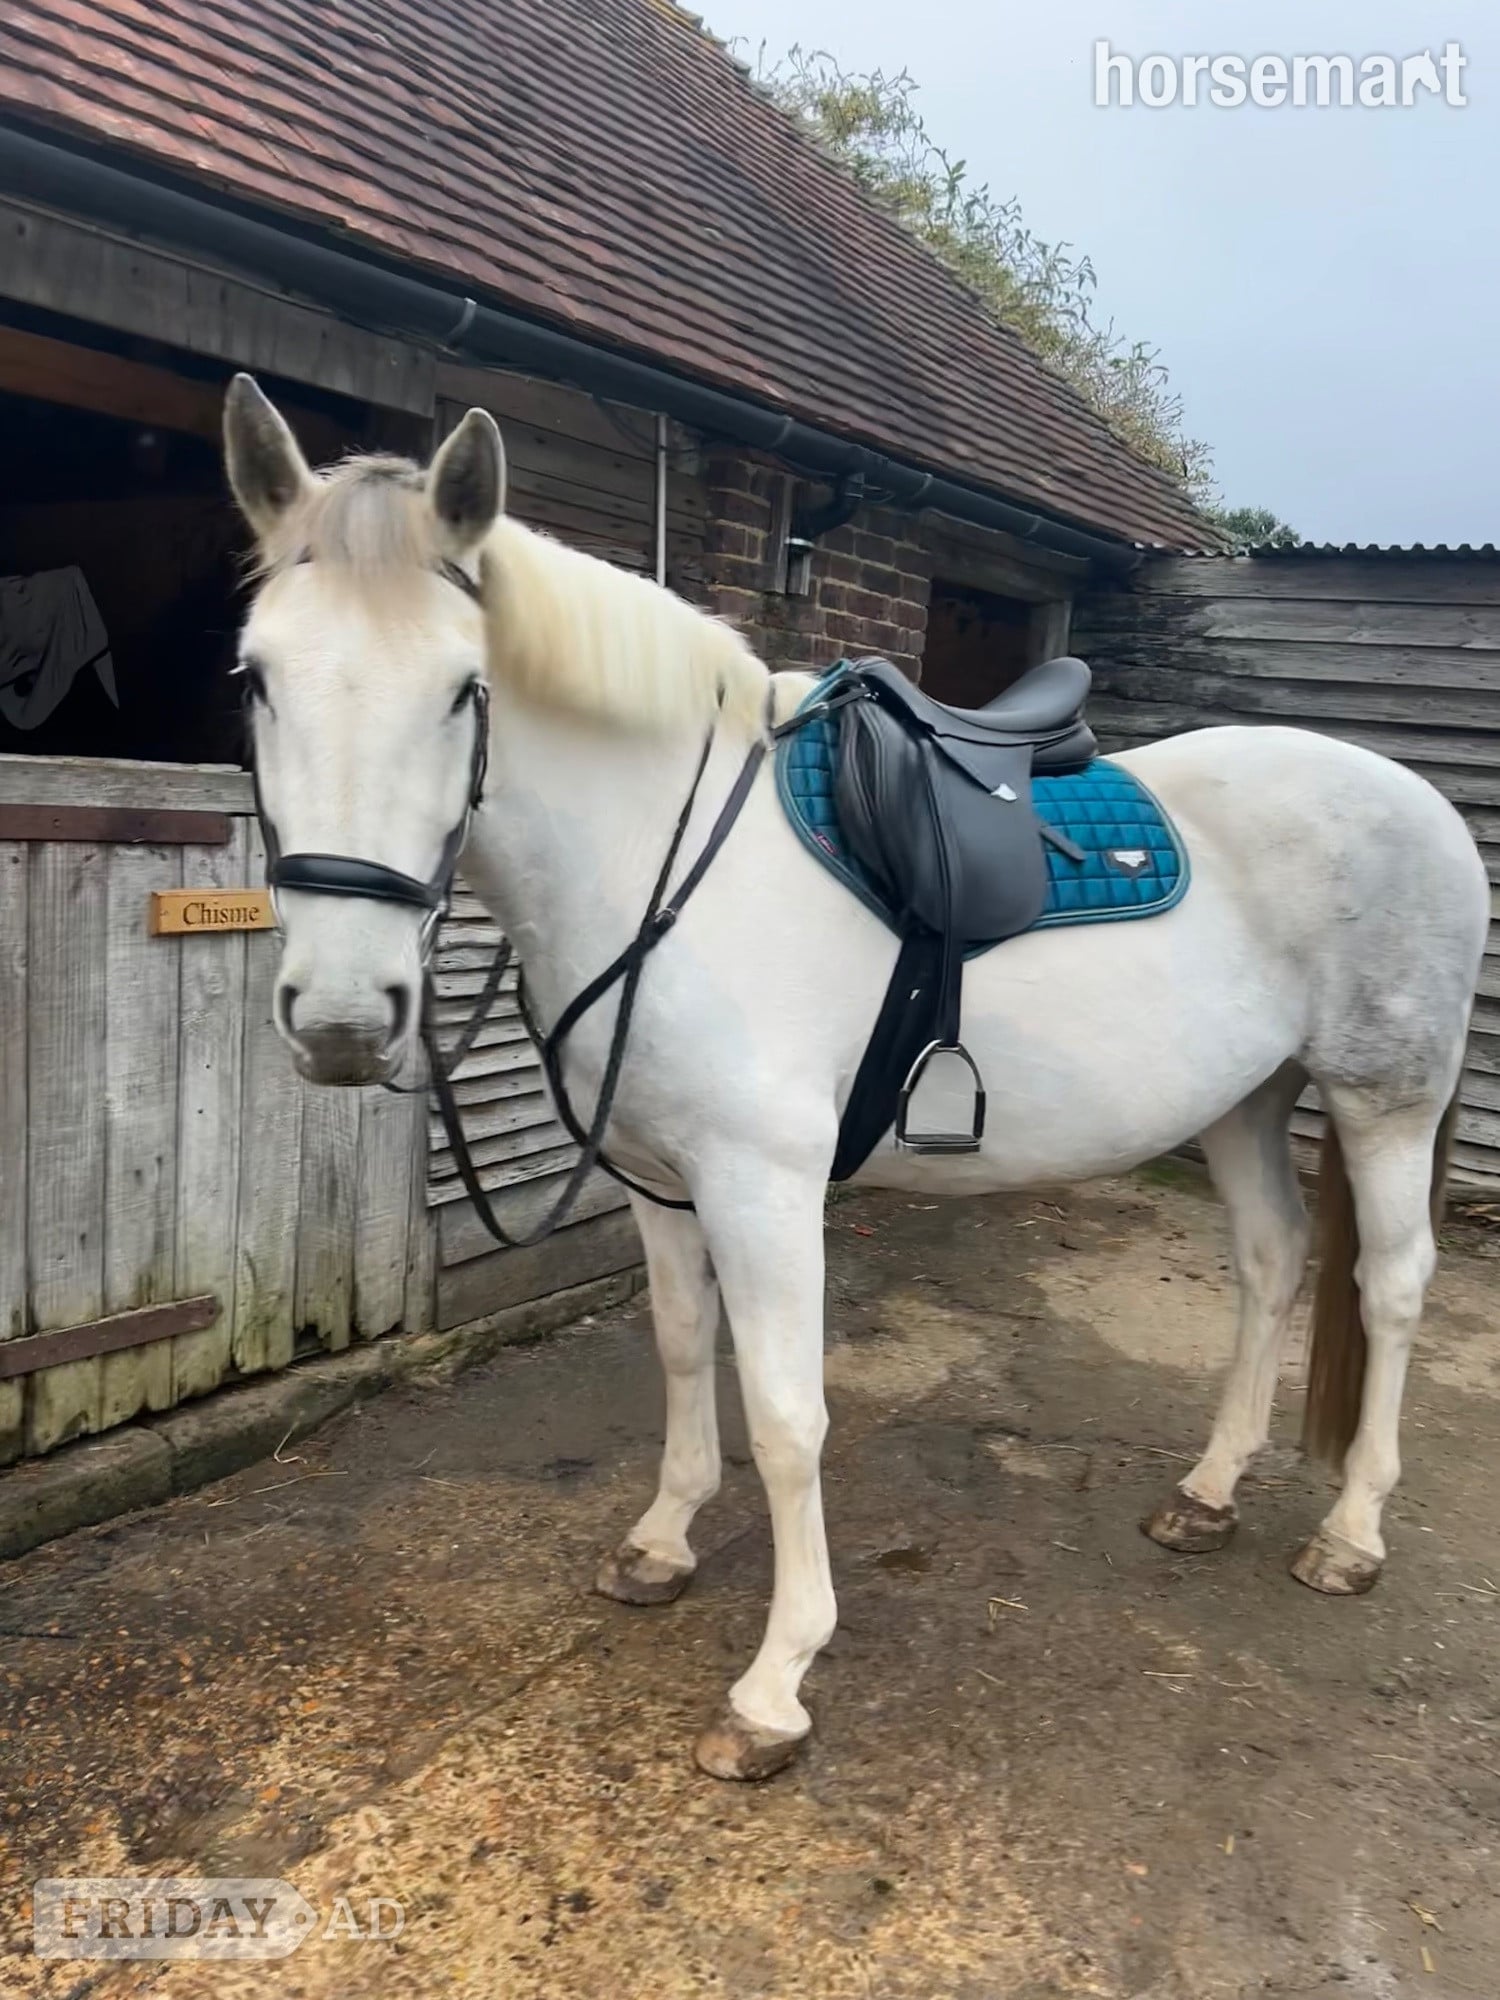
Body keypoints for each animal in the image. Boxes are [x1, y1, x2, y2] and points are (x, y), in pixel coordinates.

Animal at [223, 376, 1488, 1781]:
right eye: (255, 677)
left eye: (463, 688)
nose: (343, 1018)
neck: (660, 850)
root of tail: (1416, 799)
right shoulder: (662, 1181)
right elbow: (682, 1350)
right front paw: (661, 1541)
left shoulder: (765, 1186)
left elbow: (787, 1416)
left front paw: (776, 1684)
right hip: (1242, 1101)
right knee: (1273, 1262)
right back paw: (1207, 1494)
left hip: (1384, 1098)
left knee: (1391, 1287)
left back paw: (1351, 1532)